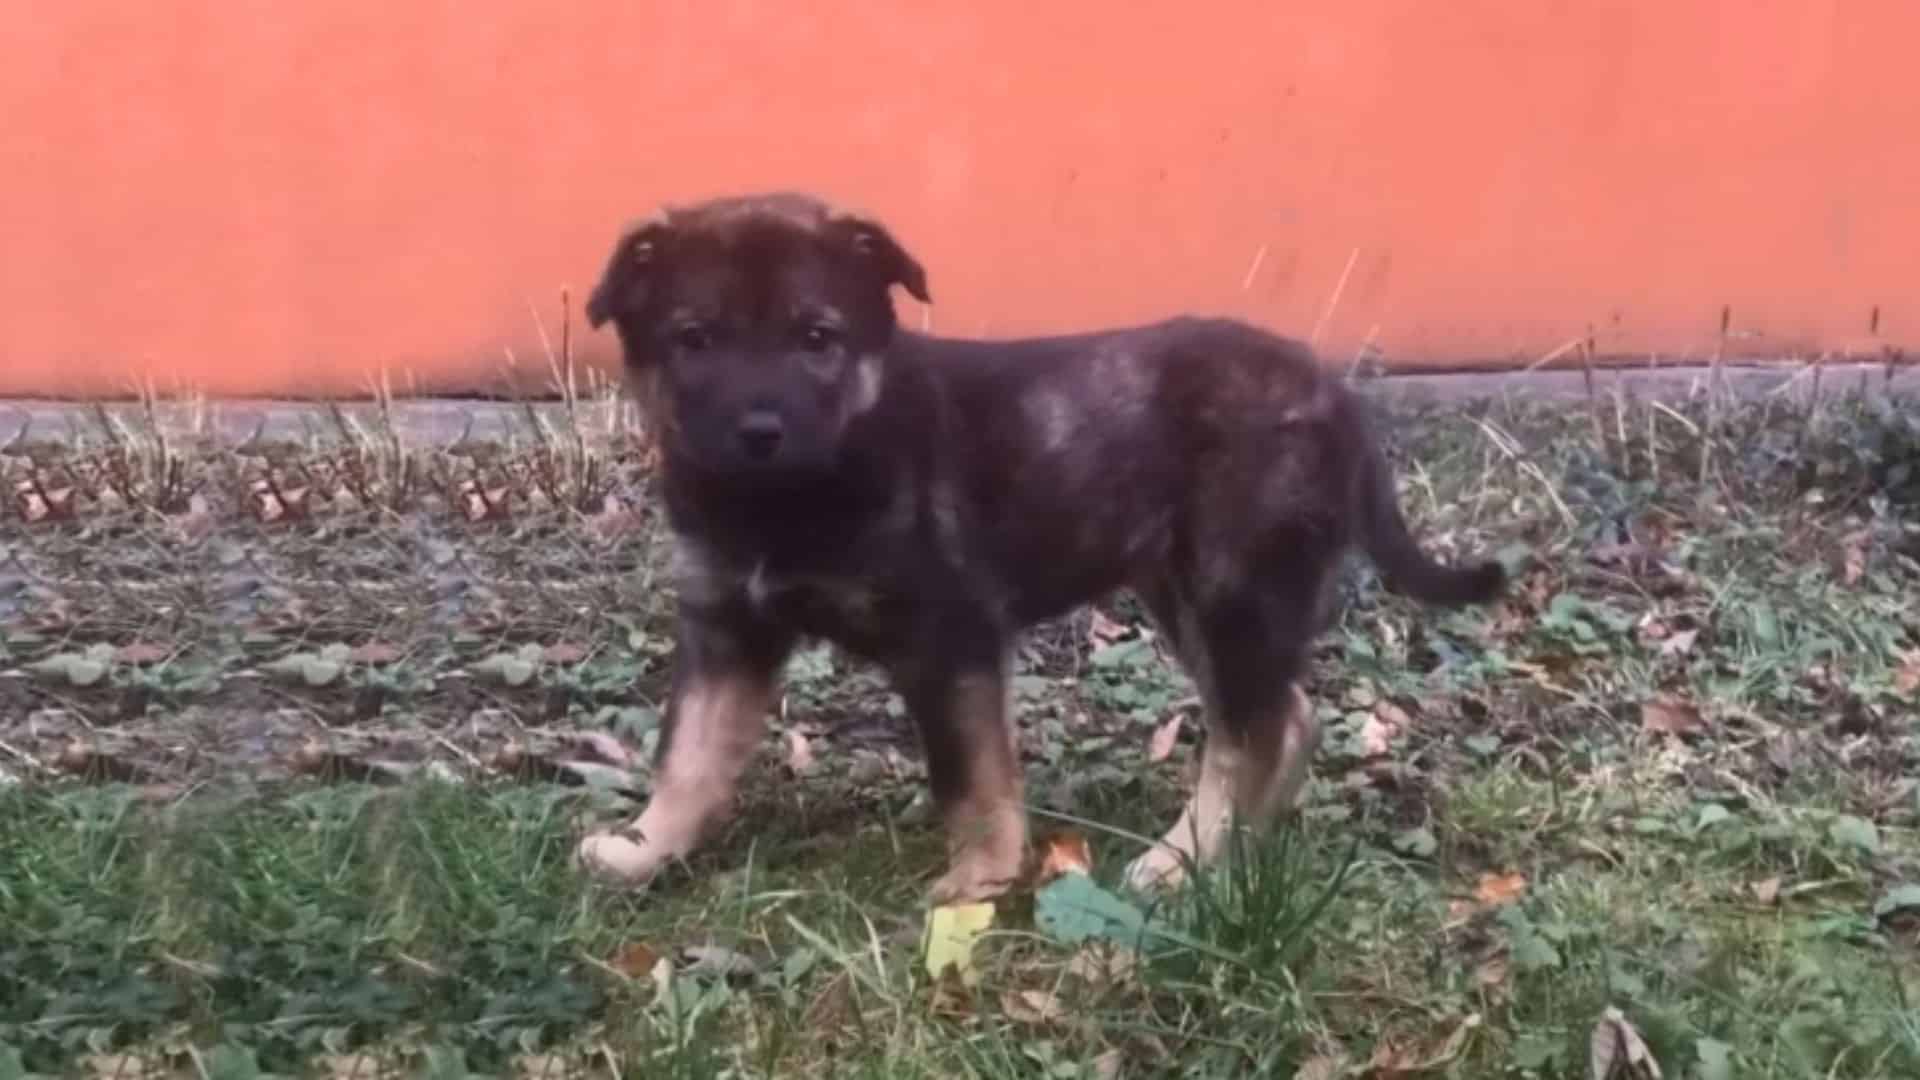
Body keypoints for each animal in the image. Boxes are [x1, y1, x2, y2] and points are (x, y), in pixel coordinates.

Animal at [576, 189, 1505, 895]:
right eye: (694, 340)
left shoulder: (949, 640)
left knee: (1250, 734)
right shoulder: (727, 628)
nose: (759, 432)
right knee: (1285, 714)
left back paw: (1181, 861)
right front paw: (642, 851)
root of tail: (1334, 394)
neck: (787, 500)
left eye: (816, 338)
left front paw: (978, 884)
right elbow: (687, 754)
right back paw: (1242, 849)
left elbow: (971, 780)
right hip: (1194, 597)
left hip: (1232, 586)